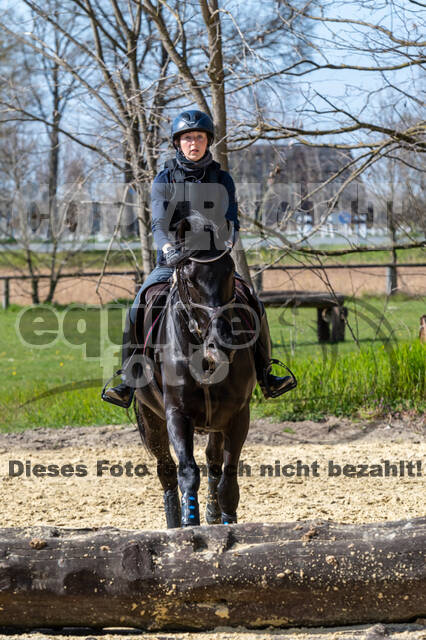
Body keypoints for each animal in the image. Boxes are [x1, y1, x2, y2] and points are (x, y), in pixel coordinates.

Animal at [135, 218, 258, 528]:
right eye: (189, 279)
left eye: (229, 272)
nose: (222, 340)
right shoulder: (176, 413)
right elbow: (187, 471)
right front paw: (189, 521)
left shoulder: (238, 414)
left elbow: (228, 477)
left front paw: (226, 520)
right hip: (150, 417)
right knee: (166, 469)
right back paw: (173, 522)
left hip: (217, 422)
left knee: (214, 461)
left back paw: (213, 513)